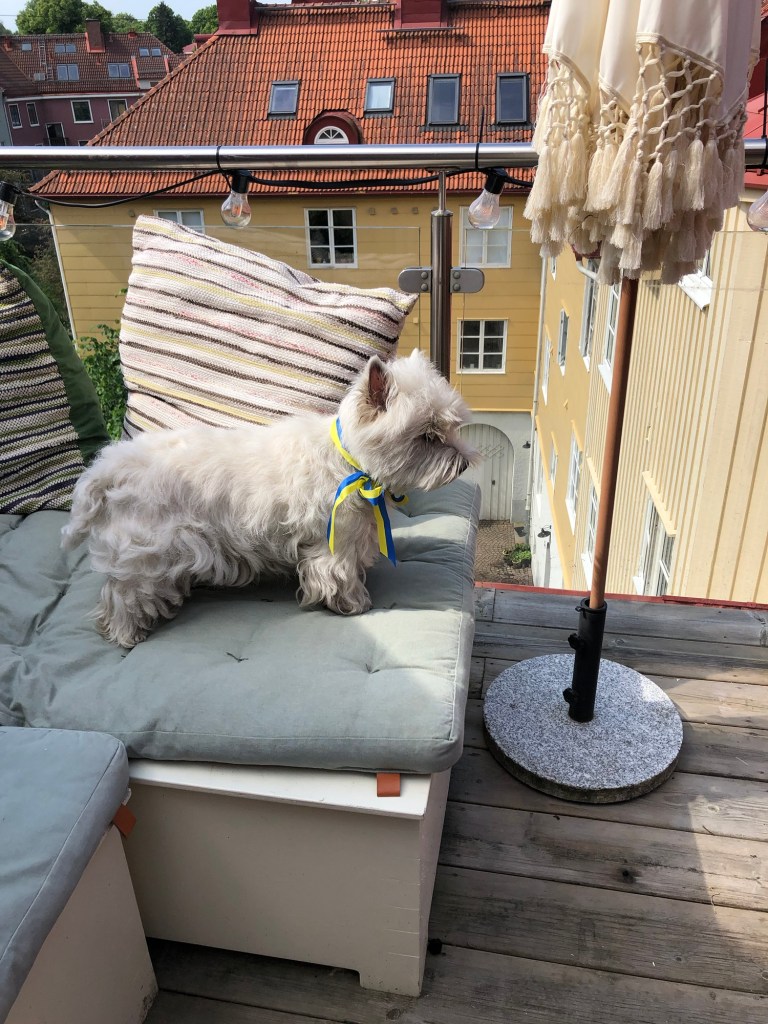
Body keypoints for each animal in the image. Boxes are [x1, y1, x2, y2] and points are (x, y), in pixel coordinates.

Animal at [62, 350, 479, 648]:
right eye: (427, 435)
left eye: (450, 427)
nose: (464, 463)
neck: (349, 463)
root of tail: (105, 468)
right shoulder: (334, 541)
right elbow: (338, 575)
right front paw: (354, 604)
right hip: (146, 552)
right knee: (124, 593)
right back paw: (128, 633)